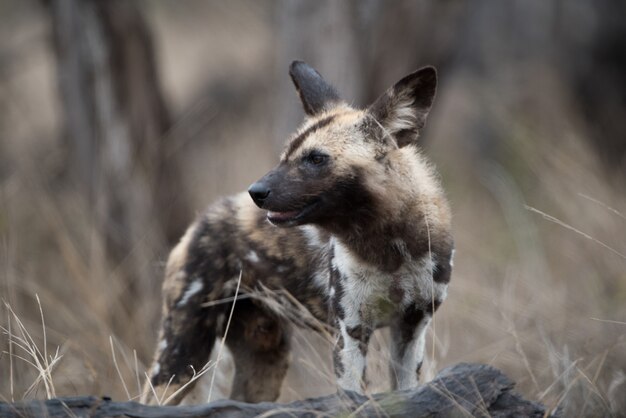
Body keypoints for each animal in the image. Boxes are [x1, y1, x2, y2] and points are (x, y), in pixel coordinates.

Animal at [141, 60, 450, 404]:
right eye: (285, 156)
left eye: (316, 158)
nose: (256, 191)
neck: (389, 249)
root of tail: (203, 218)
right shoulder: (350, 332)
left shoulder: (411, 328)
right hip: (180, 356)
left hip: (265, 360)